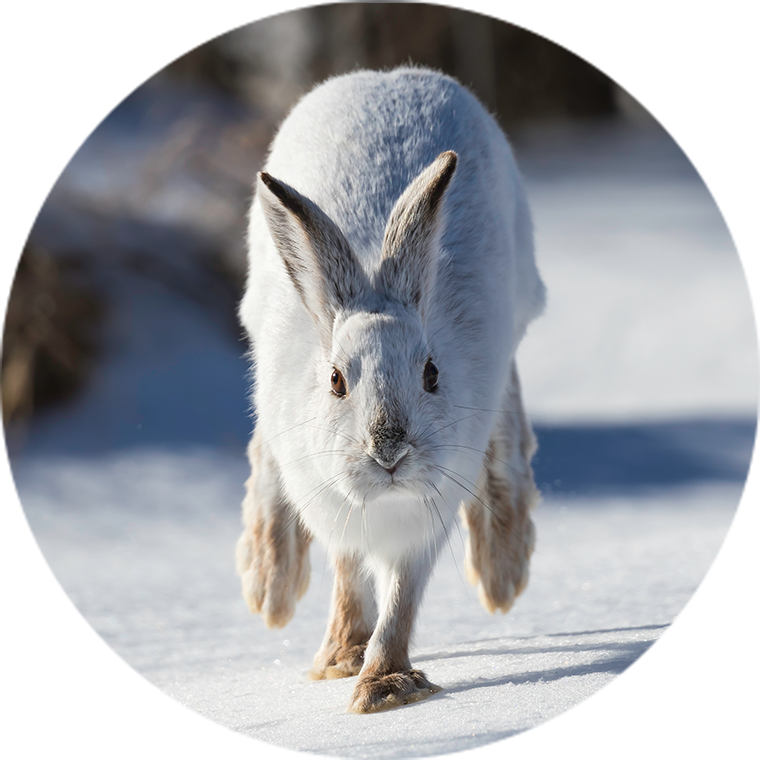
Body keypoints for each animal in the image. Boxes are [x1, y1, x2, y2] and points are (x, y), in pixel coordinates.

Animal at [235, 65, 545, 714]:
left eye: (431, 374)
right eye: (334, 380)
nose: (390, 450)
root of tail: (387, 76)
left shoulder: (424, 523)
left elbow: (401, 596)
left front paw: (382, 688)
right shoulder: (334, 510)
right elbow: (350, 577)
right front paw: (339, 661)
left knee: (507, 420)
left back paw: (502, 570)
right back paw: (270, 582)